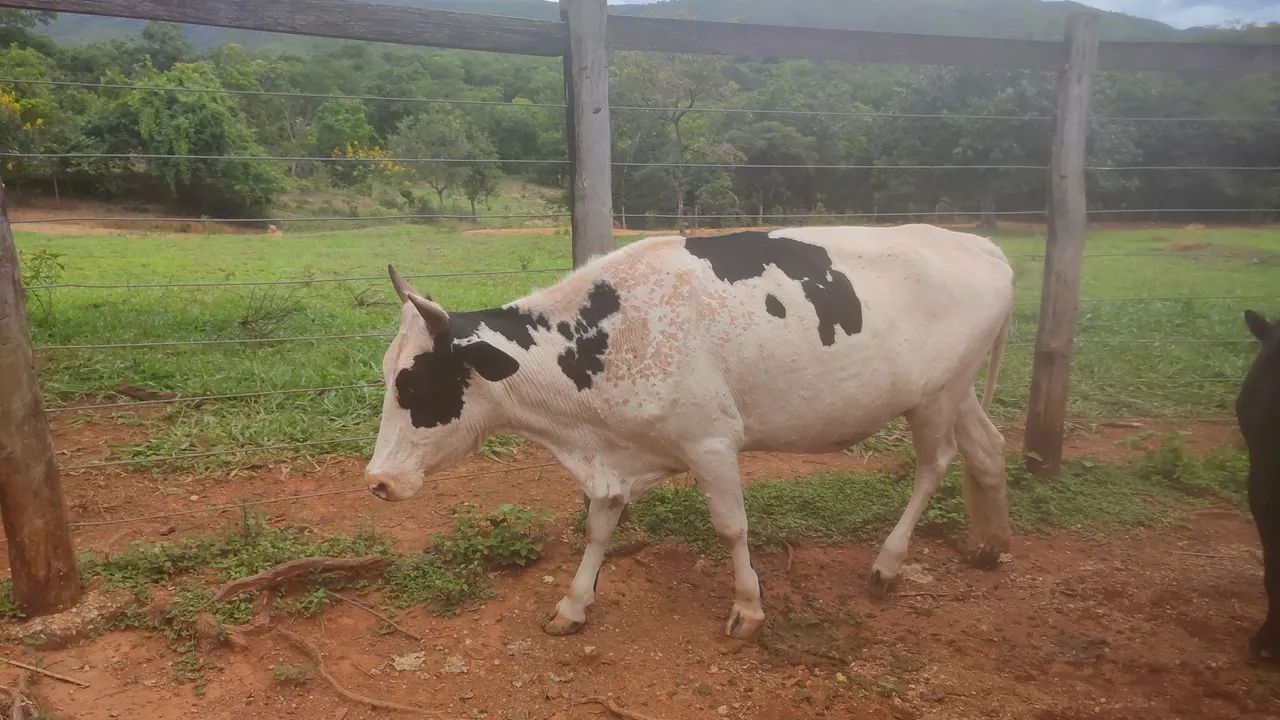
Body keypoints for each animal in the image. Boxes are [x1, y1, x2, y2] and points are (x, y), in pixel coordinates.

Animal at [365, 225, 1014, 639]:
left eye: (412, 385)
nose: (377, 482)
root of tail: (978, 244)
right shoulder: (618, 455)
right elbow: (599, 527)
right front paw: (573, 605)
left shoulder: (711, 442)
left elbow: (731, 527)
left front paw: (748, 609)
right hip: (955, 394)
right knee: (987, 448)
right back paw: (991, 544)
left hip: (937, 397)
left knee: (935, 464)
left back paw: (889, 563)